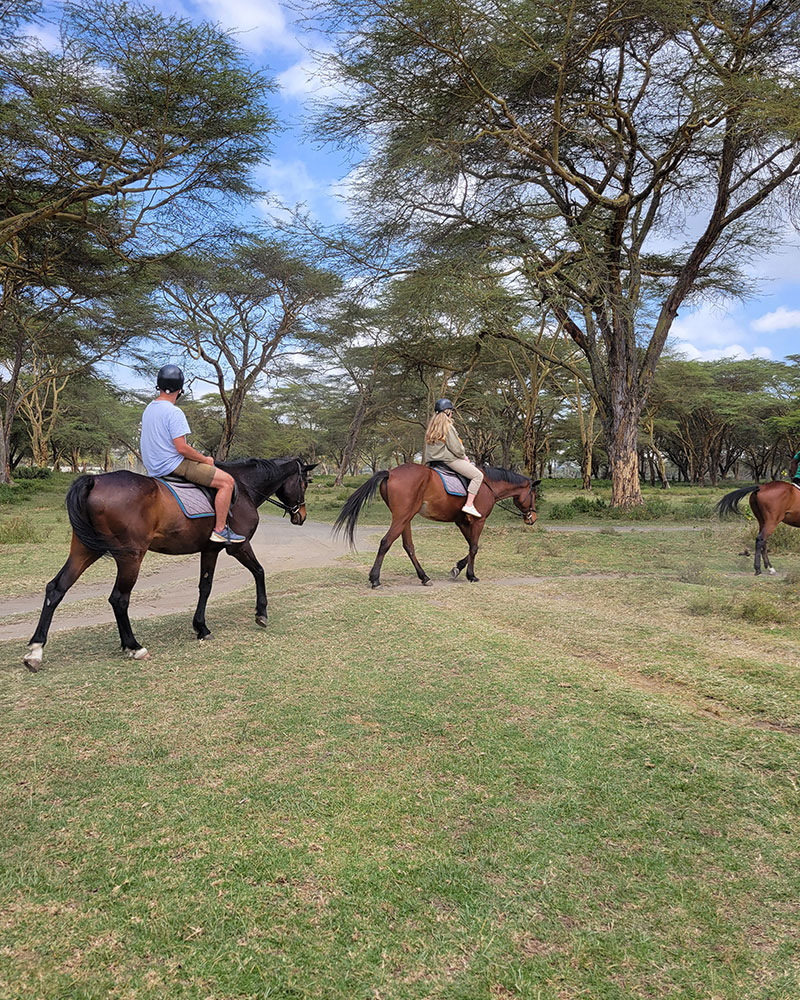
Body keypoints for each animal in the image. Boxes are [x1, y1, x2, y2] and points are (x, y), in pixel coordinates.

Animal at [23, 457, 316, 671]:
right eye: (304, 483)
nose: (301, 516)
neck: (242, 487)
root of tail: (95, 479)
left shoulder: (210, 549)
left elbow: (205, 587)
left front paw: (201, 628)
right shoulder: (237, 547)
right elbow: (259, 571)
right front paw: (261, 613)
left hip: (85, 550)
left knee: (56, 589)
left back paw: (36, 650)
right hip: (131, 556)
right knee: (119, 598)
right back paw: (133, 646)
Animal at [333, 463, 539, 588]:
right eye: (533, 495)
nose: (533, 518)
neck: (487, 485)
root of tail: (390, 472)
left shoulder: (461, 521)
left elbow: (471, 546)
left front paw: (457, 568)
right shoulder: (478, 521)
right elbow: (474, 547)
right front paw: (471, 575)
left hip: (405, 518)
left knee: (408, 546)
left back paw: (424, 577)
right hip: (401, 518)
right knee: (386, 542)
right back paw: (375, 579)